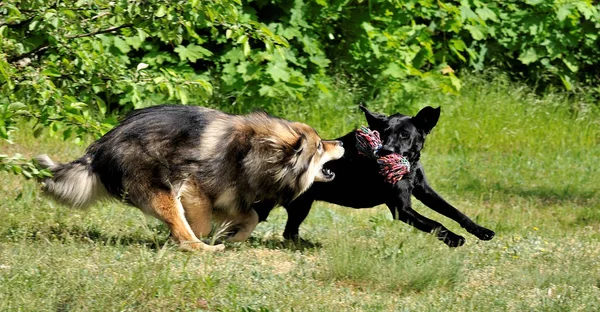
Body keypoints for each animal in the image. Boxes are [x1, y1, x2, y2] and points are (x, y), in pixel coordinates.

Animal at [253, 106, 492, 247]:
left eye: (404, 134)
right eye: (382, 133)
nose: (385, 151)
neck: (408, 167)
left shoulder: (424, 190)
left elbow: (454, 211)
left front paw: (481, 231)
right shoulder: (402, 209)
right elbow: (435, 223)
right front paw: (454, 239)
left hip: (301, 205)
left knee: (289, 232)